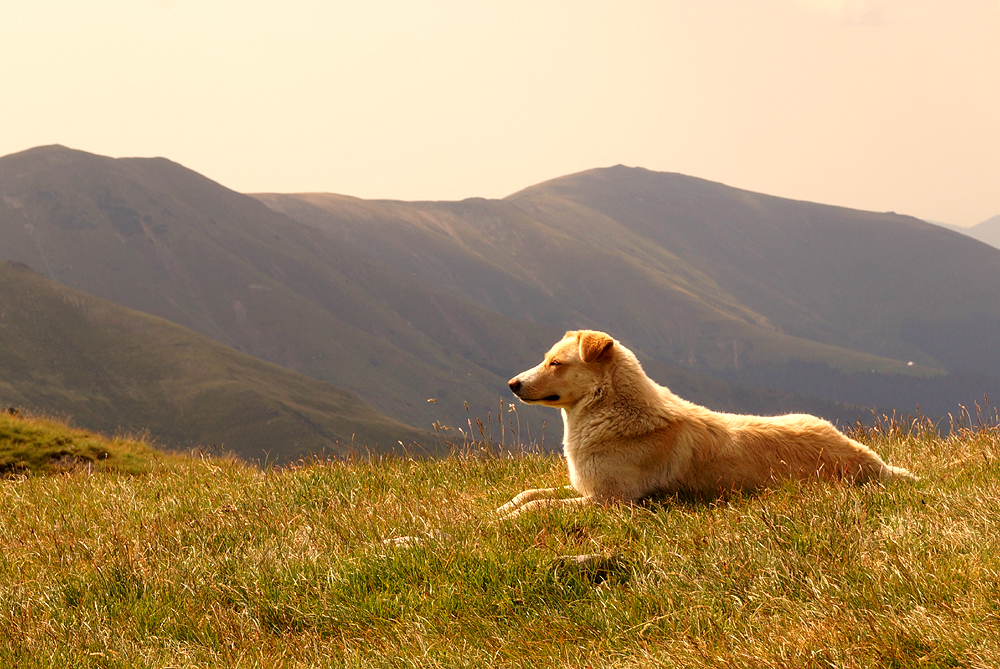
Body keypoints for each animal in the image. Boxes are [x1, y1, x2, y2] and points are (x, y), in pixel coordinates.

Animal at [496, 332, 916, 520]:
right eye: (545, 358)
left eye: (556, 364)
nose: (512, 383)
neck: (612, 410)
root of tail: (873, 463)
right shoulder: (586, 488)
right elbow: (530, 493)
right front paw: (502, 509)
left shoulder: (609, 502)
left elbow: (541, 505)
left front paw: (505, 520)